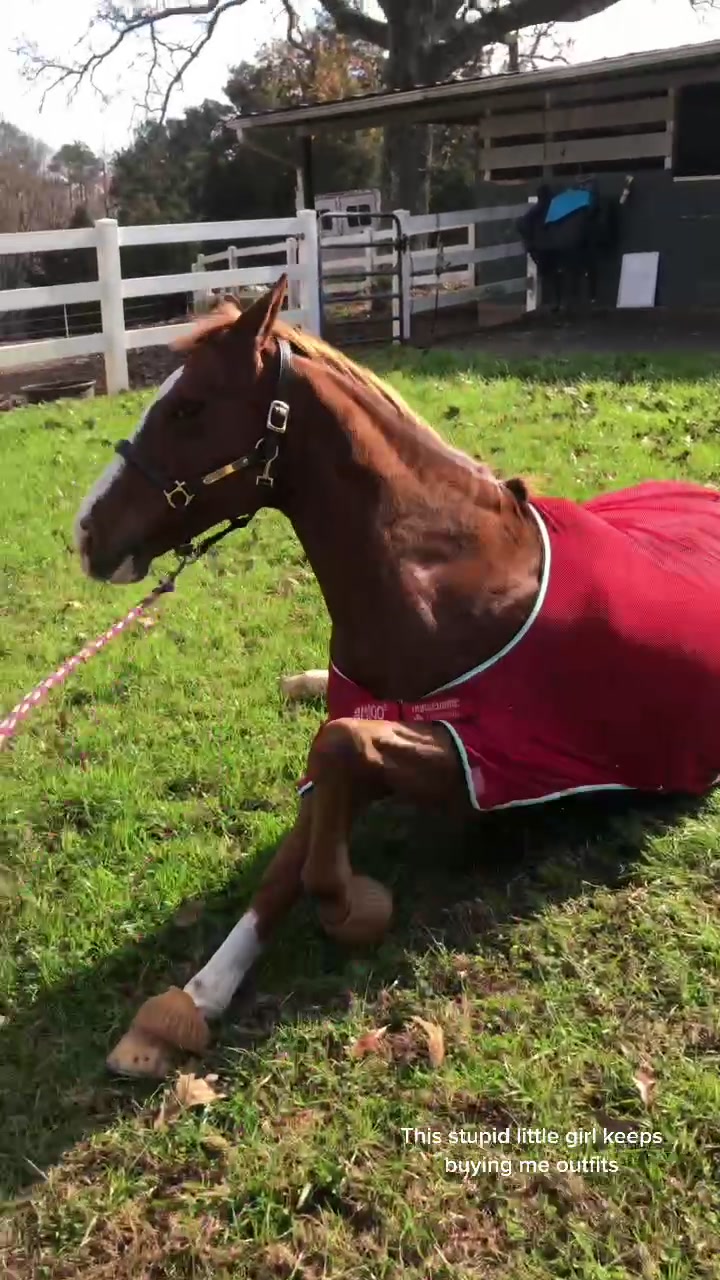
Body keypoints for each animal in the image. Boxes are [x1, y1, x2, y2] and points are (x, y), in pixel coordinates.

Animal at [75, 276, 720, 1077]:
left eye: (189, 406)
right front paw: (190, 1003)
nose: (86, 533)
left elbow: (340, 756)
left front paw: (350, 905)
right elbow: (290, 849)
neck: (437, 584)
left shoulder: (494, 761)